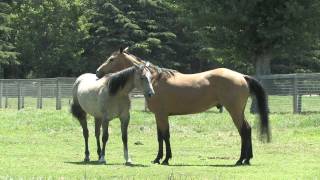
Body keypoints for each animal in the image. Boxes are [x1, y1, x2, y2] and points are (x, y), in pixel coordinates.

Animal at [95, 47, 270, 165]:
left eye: (111, 59)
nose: (98, 72)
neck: (155, 80)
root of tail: (242, 76)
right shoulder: (159, 116)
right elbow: (160, 136)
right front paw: (158, 158)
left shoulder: (161, 115)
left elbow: (165, 136)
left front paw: (165, 159)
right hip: (238, 111)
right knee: (247, 130)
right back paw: (247, 159)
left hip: (235, 111)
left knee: (244, 131)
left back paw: (241, 159)